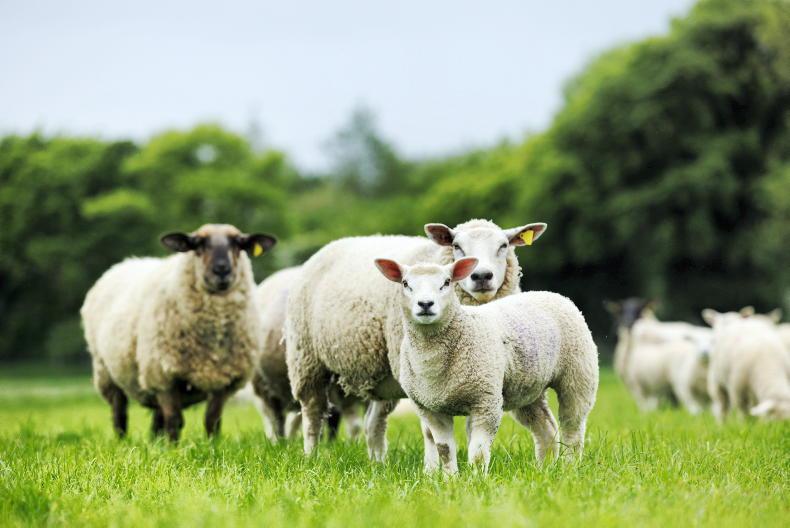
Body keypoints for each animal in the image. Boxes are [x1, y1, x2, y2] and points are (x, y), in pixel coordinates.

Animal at [81, 224, 276, 440]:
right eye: (198, 244)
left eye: (239, 244)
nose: (222, 269)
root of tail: (124, 263)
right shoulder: (163, 378)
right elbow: (175, 420)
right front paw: (173, 447)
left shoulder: (223, 383)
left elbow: (212, 420)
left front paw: (212, 444)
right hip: (107, 372)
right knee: (120, 413)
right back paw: (122, 440)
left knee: (157, 419)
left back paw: (155, 442)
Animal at [285, 219, 547, 458]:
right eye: (456, 245)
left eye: (503, 245)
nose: (481, 276)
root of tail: (331, 245)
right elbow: (430, 431)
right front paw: (431, 469)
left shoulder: (479, 374)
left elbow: (472, 426)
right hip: (307, 359)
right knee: (312, 413)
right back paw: (311, 456)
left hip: (385, 374)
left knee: (373, 424)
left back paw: (378, 463)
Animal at [374, 257, 598, 474]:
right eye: (405, 283)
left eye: (446, 282)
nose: (425, 304)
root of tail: (552, 294)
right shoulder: (430, 408)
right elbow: (444, 450)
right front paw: (449, 479)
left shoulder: (485, 401)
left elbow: (479, 453)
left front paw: (476, 479)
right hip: (527, 388)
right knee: (546, 428)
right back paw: (545, 469)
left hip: (578, 375)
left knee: (573, 427)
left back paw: (569, 467)